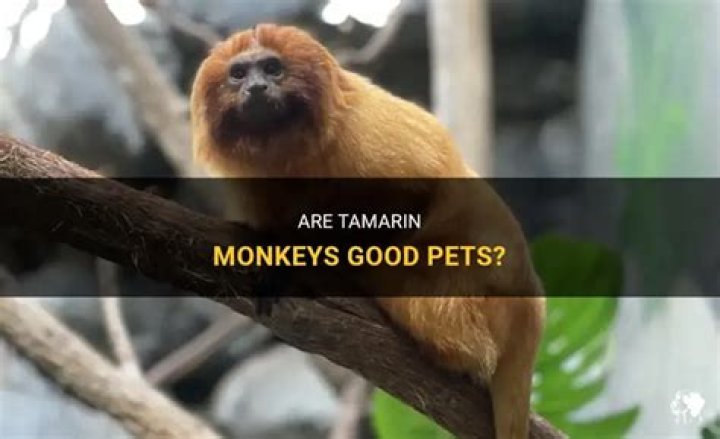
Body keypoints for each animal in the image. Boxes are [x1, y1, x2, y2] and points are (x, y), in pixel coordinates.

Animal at [191, 24, 545, 439]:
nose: (258, 87)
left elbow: (420, 191)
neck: (291, 151)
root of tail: (531, 303)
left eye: (272, 68)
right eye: (239, 74)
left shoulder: (367, 134)